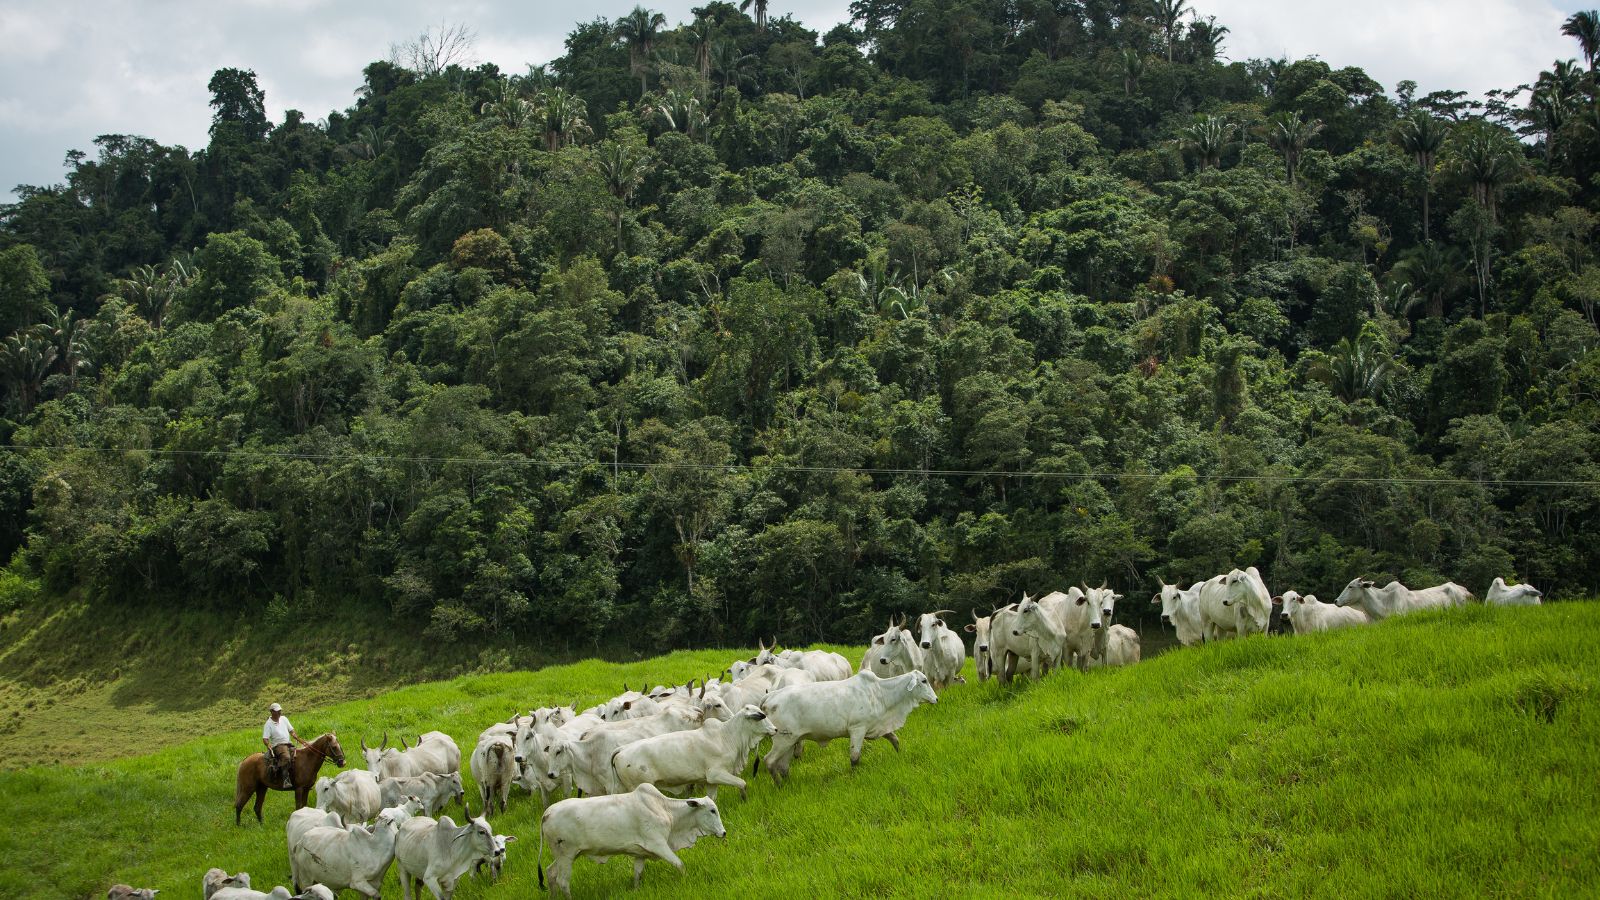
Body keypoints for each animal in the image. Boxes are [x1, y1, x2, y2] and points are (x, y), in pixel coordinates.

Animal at [540, 781, 729, 890]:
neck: (666, 810)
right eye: (712, 810)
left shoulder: (640, 854)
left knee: (550, 873)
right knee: (562, 881)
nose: (723, 832)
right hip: (567, 855)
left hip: (566, 855)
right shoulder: (659, 845)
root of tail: (547, 813)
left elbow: (638, 875)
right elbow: (680, 865)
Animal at [611, 701, 774, 797]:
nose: (775, 729)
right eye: (762, 716)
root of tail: (621, 750)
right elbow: (742, 783)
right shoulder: (716, 774)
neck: (726, 736)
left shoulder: (710, 782)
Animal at [758, 662, 934, 781]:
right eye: (924, 680)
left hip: (791, 741)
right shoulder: (858, 729)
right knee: (769, 761)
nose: (936, 698)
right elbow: (855, 757)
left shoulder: (877, 727)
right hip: (783, 740)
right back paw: (779, 785)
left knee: (783, 766)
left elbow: (895, 740)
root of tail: (770, 696)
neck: (880, 692)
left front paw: (900, 756)